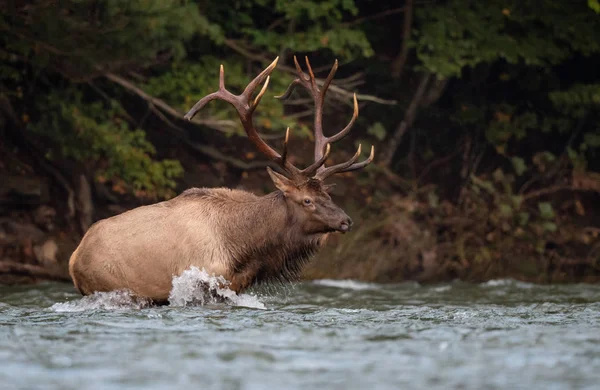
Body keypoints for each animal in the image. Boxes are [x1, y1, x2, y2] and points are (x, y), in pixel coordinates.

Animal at [68, 56, 372, 304]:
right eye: (307, 200)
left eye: (328, 195)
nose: (346, 220)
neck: (245, 247)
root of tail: (73, 258)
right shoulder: (203, 282)